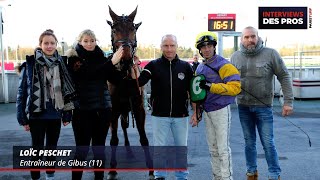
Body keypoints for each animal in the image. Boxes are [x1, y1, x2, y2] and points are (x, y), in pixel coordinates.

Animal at [105, 5, 154, 180]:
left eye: (133, 29)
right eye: (114, 29)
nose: (125, 57)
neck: (124, 74)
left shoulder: (139, 107)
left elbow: (144, 138)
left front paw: (151, 170)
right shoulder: (113, 108)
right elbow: (113, 139)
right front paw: (112, 169)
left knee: (125, 125)